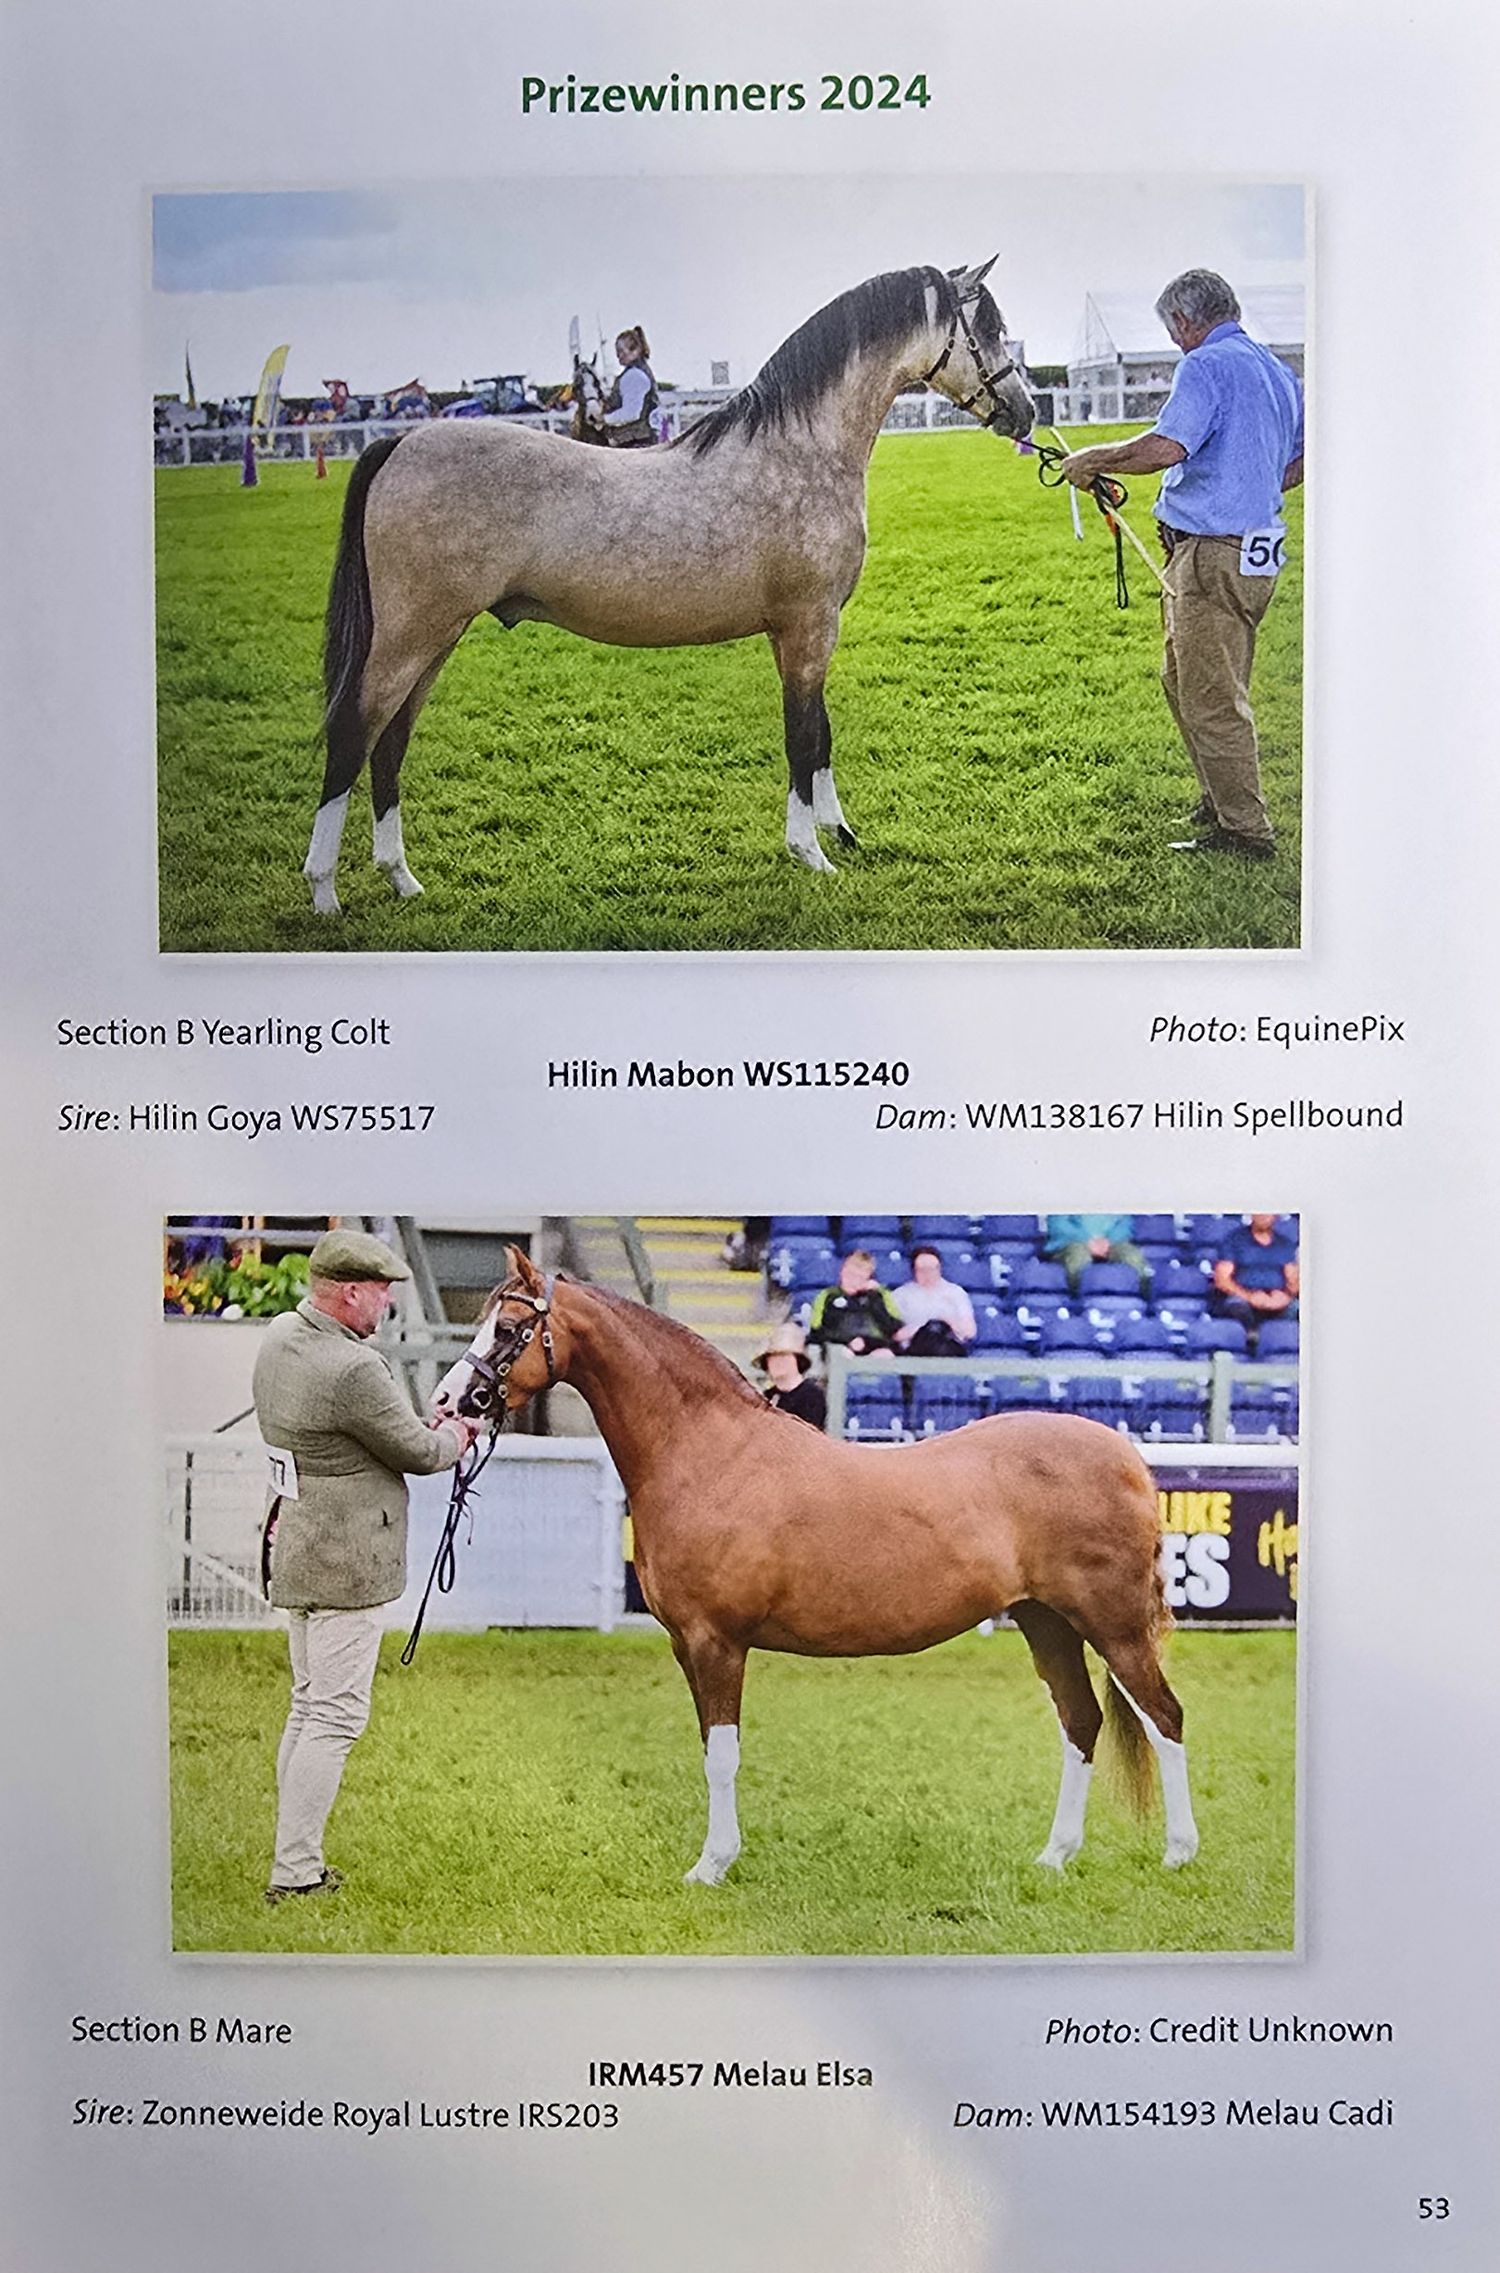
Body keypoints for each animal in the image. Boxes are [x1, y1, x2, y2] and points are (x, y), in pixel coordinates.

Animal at [305, 258, 1033, 912]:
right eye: (991, 329)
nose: (1024, 413)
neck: (800, 451)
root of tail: (400, 442)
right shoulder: (808, 625)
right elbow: (802, 736)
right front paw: (811, 852)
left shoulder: (800, 631)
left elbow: (819, 732)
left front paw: (839, 832)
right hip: (410, 635)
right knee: (353, 733)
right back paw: (325, 891)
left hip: (436, 639)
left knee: (390, 744)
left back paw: (401, 878)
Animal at [431, 1252, 1199, 1890]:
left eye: (508, 1328)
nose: (446, 1402)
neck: (709, 1453)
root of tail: (1125, 1456)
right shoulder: (686, 1645)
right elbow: (709, 1749)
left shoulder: (717, 1643)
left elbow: (722, 1755)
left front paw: (713, 1864)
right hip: (1049, 1624)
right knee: (1081, 1721)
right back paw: (1055, 1856)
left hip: (1113, 1626)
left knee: (1164, 1716)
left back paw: (1179, 1852)